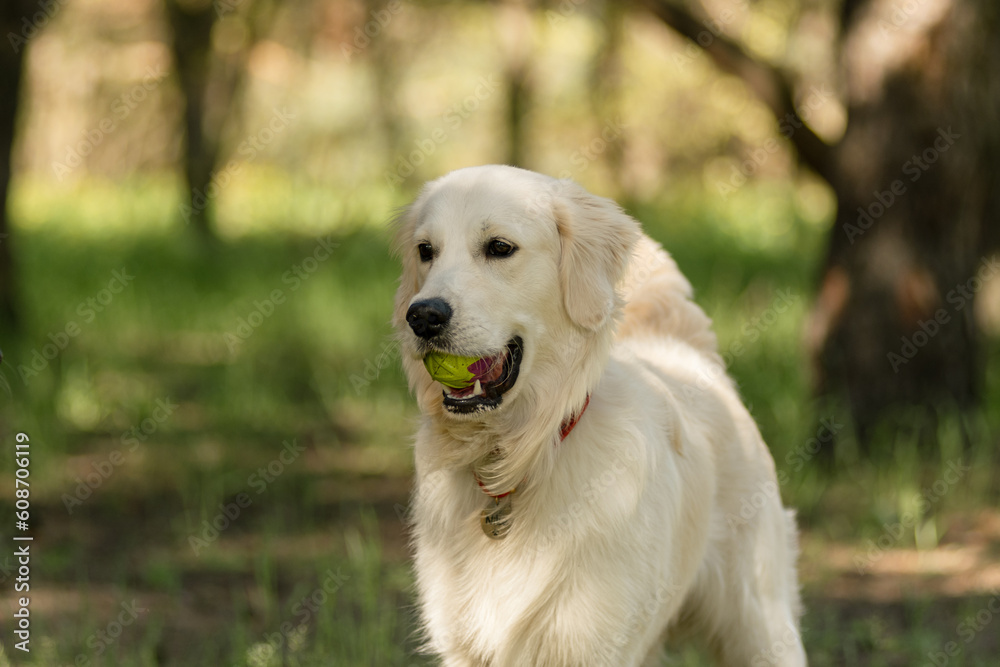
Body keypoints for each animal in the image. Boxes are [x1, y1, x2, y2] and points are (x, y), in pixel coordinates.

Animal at [390, 164, 804, 664]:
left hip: (760, 622)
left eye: (499, 248)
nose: (422, 317)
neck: (522, 458)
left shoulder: (589, 641)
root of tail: (683, 352)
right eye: (425, 251)